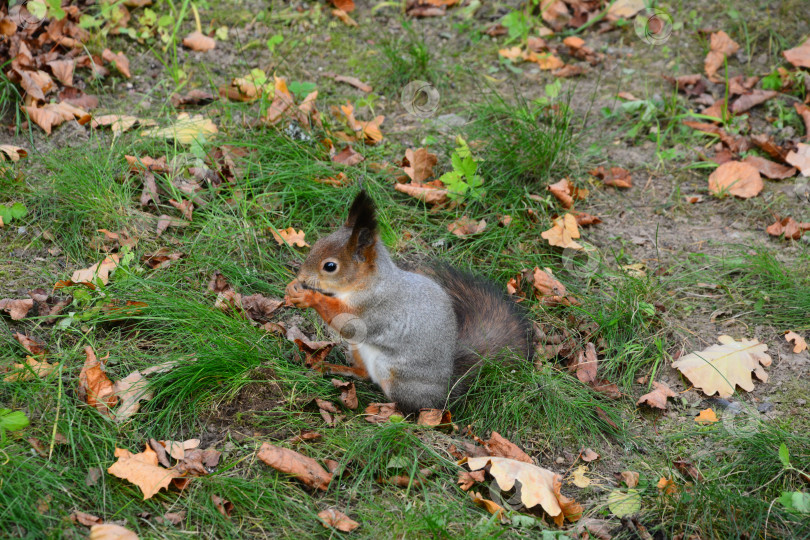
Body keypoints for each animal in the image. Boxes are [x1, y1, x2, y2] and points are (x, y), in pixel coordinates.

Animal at [282, 191, 532, 414]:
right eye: (318, 243)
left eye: (330, 266)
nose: (301, 277)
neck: (368, 284)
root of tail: (445, 390)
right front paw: (292, 289)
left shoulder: (377, 310)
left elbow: (348, 323)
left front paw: (309, 297)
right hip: (359, 350)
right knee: (366, 375)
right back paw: (333, 367)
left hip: (395, 374)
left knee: (411, 407)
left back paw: (385, 410)